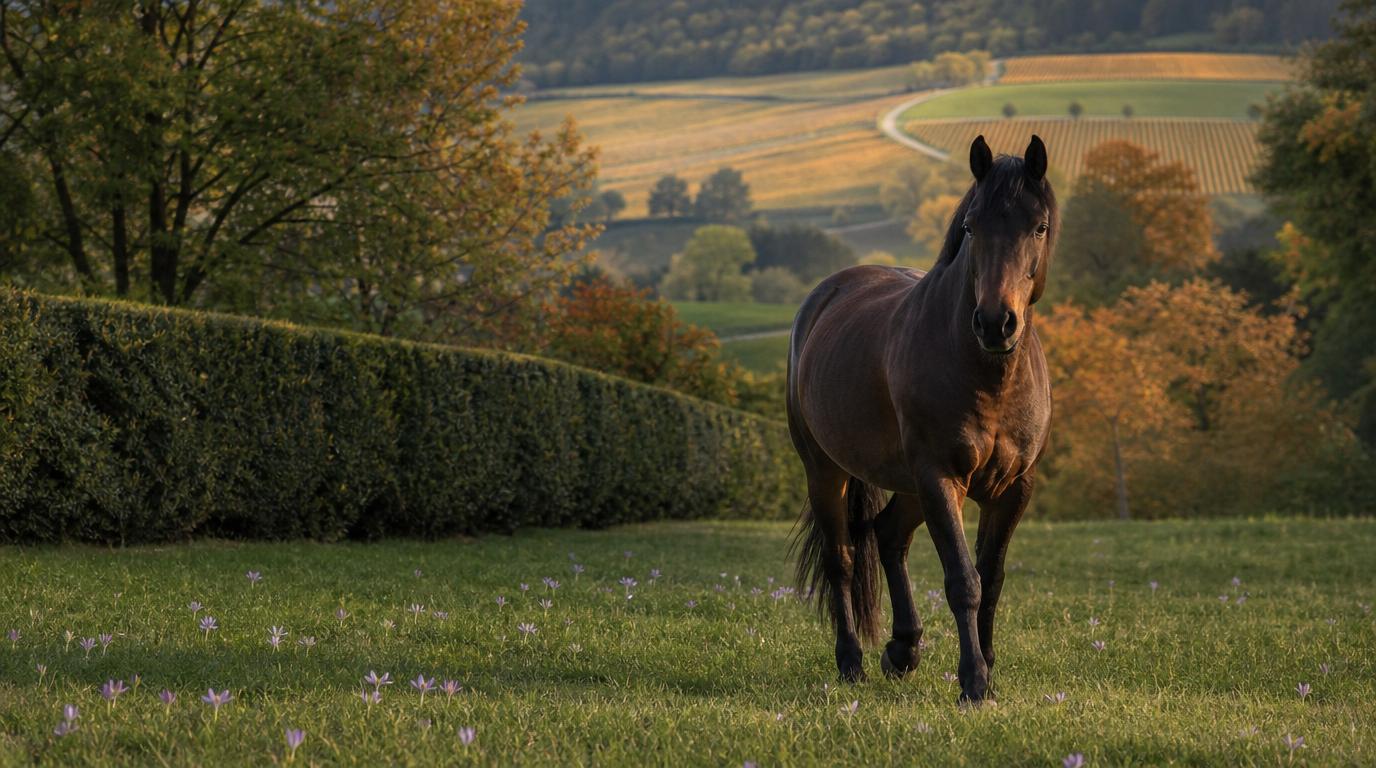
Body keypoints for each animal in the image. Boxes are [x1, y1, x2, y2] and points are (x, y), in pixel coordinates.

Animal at [787, 135, 1056, 704]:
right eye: (972, 226)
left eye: (1039, 227)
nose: (995, 323)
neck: (985, 376)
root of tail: (827, 294)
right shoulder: (940, 477)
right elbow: (963, 581)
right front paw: (974, 683)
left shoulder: (1014, 487)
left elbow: (992, 578)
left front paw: (987, 668)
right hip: (827, 471)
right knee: (842, 559)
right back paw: (852, 662)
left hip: (909, 485)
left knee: (888, 535)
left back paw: (903, 649)